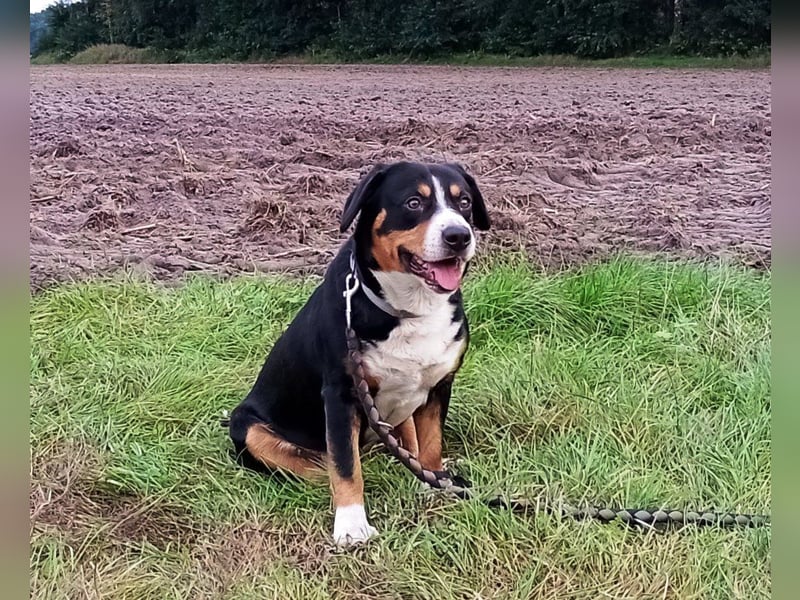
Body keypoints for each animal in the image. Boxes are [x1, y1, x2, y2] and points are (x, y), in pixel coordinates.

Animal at [228, 162, 490, 548]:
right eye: (414, 202)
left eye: (465, 202)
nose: (459, 235)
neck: (411, 310)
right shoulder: (341, 394)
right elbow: (345, 466)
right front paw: (351, 525)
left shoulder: (439, 385)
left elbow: (430, 444)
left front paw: (434, 484)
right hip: (247, 426)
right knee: (320, 465)